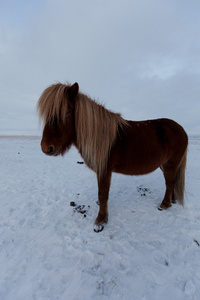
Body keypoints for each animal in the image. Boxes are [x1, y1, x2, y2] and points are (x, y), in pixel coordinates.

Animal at [37, 81, 188, 232]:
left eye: (66, 112)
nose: (46, 148)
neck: (101, 137)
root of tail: (181, 129)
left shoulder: (104, 170)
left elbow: (103, 194)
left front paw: (101, 219)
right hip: (165, 165)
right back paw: (172, 200)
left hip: (170, 164)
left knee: (170, 182)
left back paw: (164, 204)